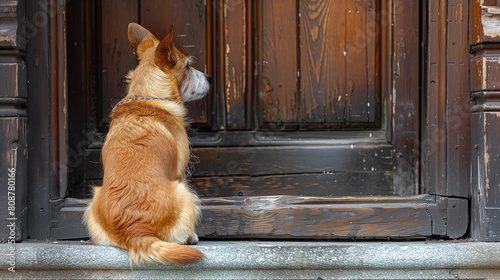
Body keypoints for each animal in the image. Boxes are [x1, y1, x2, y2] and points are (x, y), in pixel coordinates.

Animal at [83, 23, 211, 266]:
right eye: (188, 66)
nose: (209, 77)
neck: (146, 94)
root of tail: (134, 227)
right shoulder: (180, 172)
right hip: (185, 192)